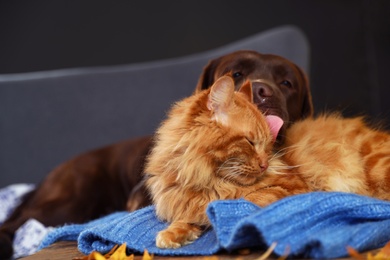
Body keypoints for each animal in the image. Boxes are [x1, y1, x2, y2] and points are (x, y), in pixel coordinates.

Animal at [145, 74, 390, 248]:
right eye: (250, 142)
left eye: (267, 144)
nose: (264, 165)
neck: (204, 177)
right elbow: (187, 217)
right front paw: (172, 234)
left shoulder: (291, 189)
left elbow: (237, 200)